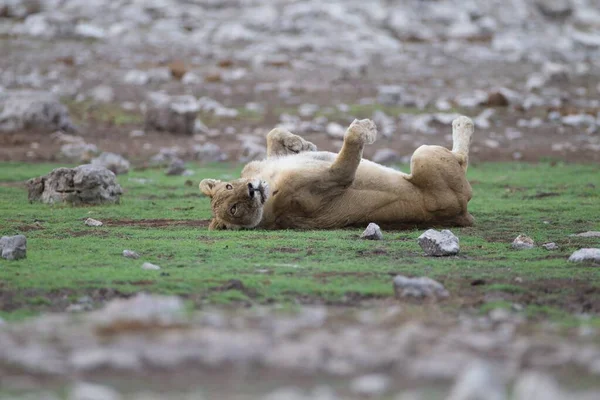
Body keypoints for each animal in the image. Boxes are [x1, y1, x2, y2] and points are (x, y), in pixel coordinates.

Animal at [199, 115, 476, 230]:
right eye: (234, 209)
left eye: (229, 187)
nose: (250, 189)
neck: (269, 182)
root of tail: (463, 215)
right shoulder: (332, 181)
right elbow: (349, 146)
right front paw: (365, 128)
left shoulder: (261, 165)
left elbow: (272, 133)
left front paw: (301, 144)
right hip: (424, 157)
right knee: (461, 160)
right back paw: (462, 122)